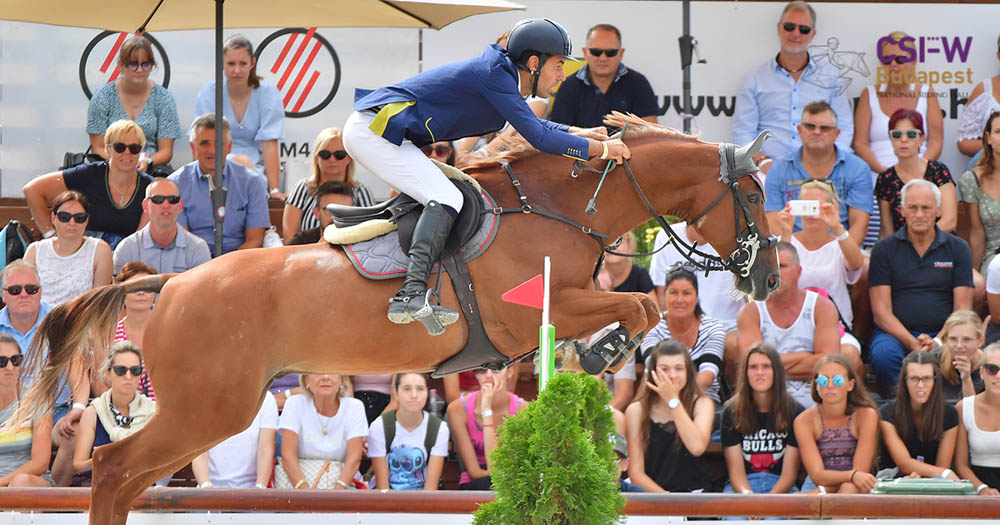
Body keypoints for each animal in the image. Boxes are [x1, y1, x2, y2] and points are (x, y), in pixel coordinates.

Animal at [17, 113, 780, 520]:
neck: (561, 207)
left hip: (204, 411)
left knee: (124, 474)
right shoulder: (536, 307)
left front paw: (596, 355)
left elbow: (639, 303)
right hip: (211, 408)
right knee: (113, 464)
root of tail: (172, 284)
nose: (769, 277)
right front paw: (603, 351)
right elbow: (640, 302)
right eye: (753, 193)